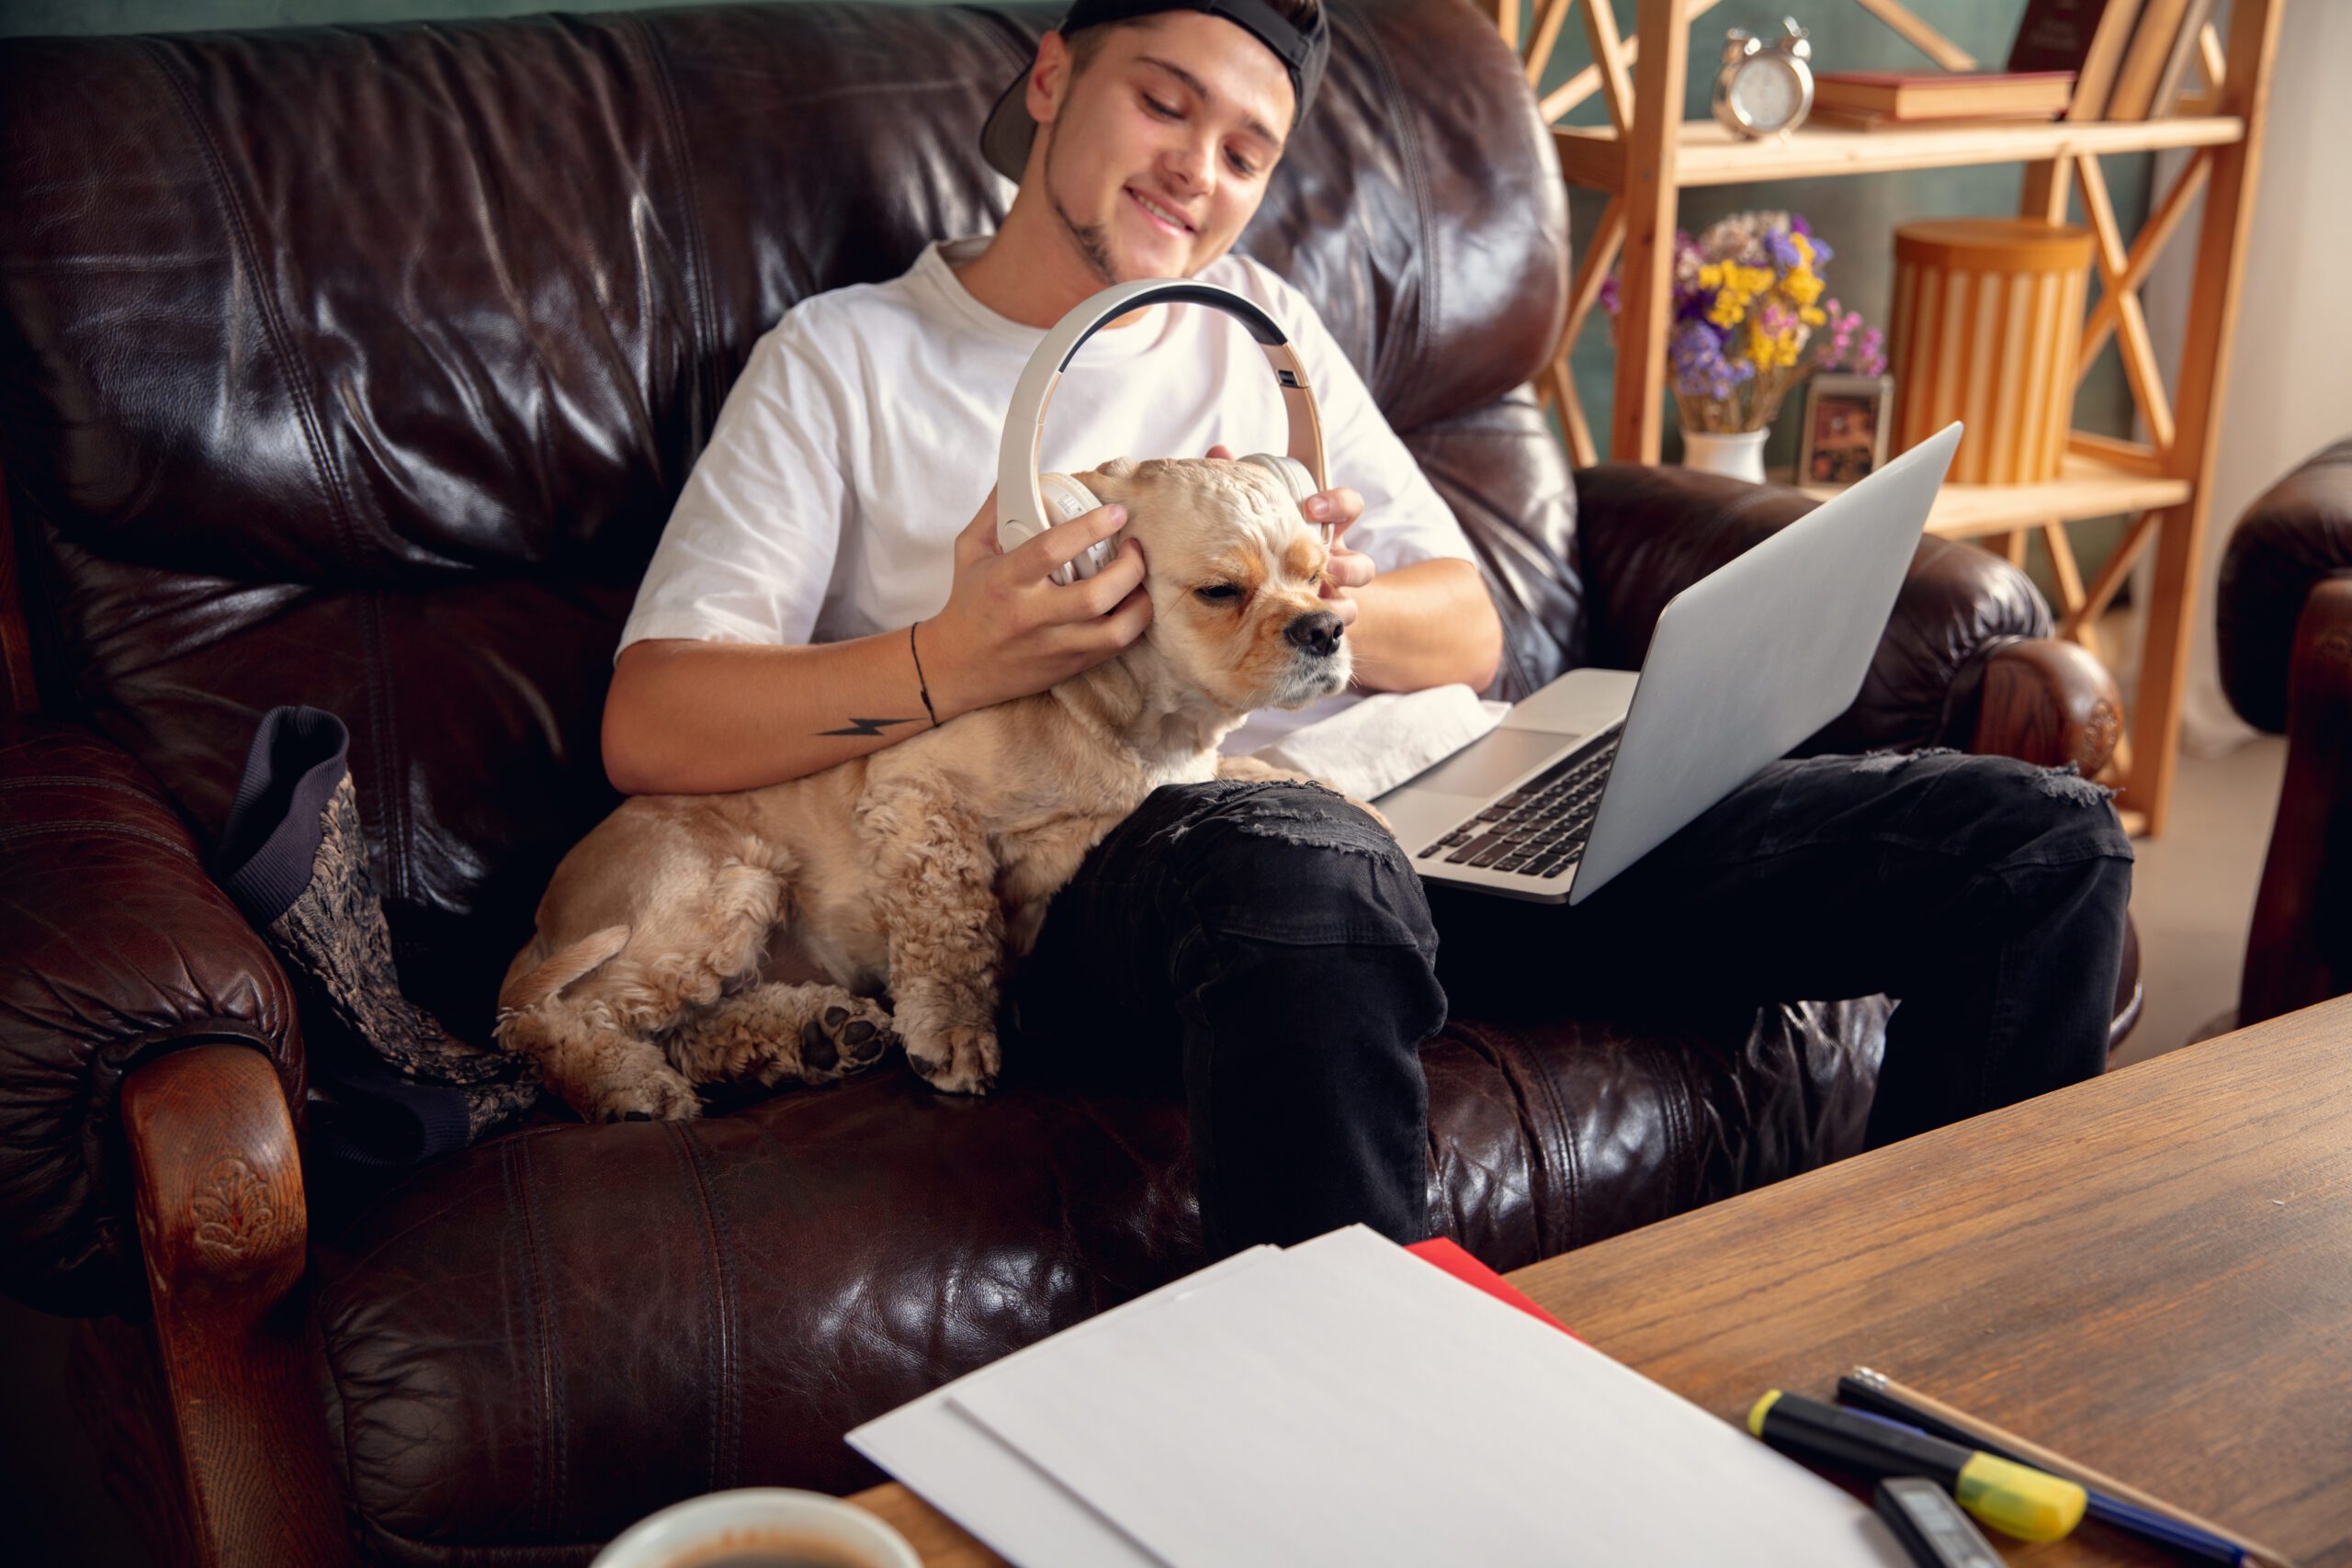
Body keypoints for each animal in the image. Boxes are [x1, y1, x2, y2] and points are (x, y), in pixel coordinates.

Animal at [501, 456, 1374, 1128]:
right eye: (1221, 591)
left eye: (1316, 574)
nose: (1327, 628)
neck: (1131, 726)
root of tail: (541, 927)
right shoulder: (915, 796)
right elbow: (952, 925)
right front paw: (955, 1031)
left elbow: (1255, 769)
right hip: (712, 893)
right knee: (552, 1020)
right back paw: (627, 1085)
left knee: (691, 1028)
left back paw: (821, 1033)